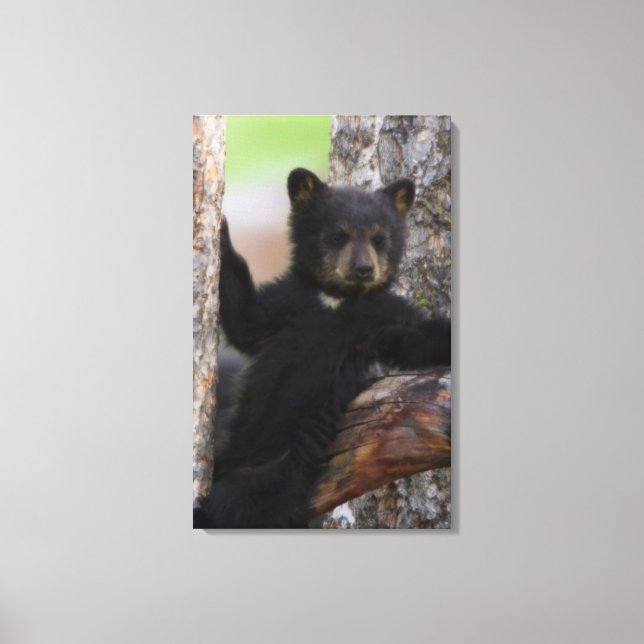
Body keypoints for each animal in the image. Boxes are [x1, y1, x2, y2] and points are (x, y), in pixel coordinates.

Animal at [193, 168, 451, 529]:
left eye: (379, 238)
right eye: (338, 235)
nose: (364, 269)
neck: (335, 300)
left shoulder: (380, 317)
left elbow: (419, 338)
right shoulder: (288, 303)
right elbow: (245, 318)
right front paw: (222, 227)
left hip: (282, 469)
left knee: (235, 504)